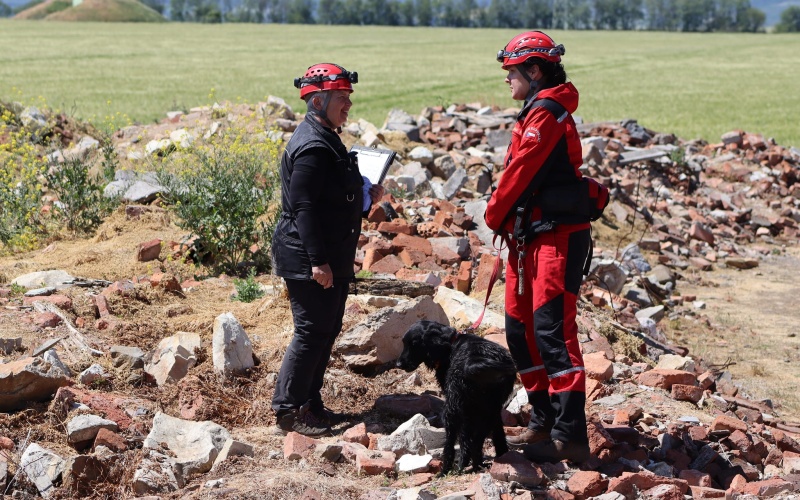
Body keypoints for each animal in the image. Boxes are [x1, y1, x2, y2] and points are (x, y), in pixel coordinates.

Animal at [396, 320, 520, 472]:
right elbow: (498, 431)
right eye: (404, 342)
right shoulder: (489, 408)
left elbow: (463, 437)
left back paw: (449, 469)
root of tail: (473, 363)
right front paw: (502, 454)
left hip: (454, 408)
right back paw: (480, 464)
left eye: (414, 343)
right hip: (488, 407)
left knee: (456, 441)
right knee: (478, 440)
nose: (398, 364)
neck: (450, 344)